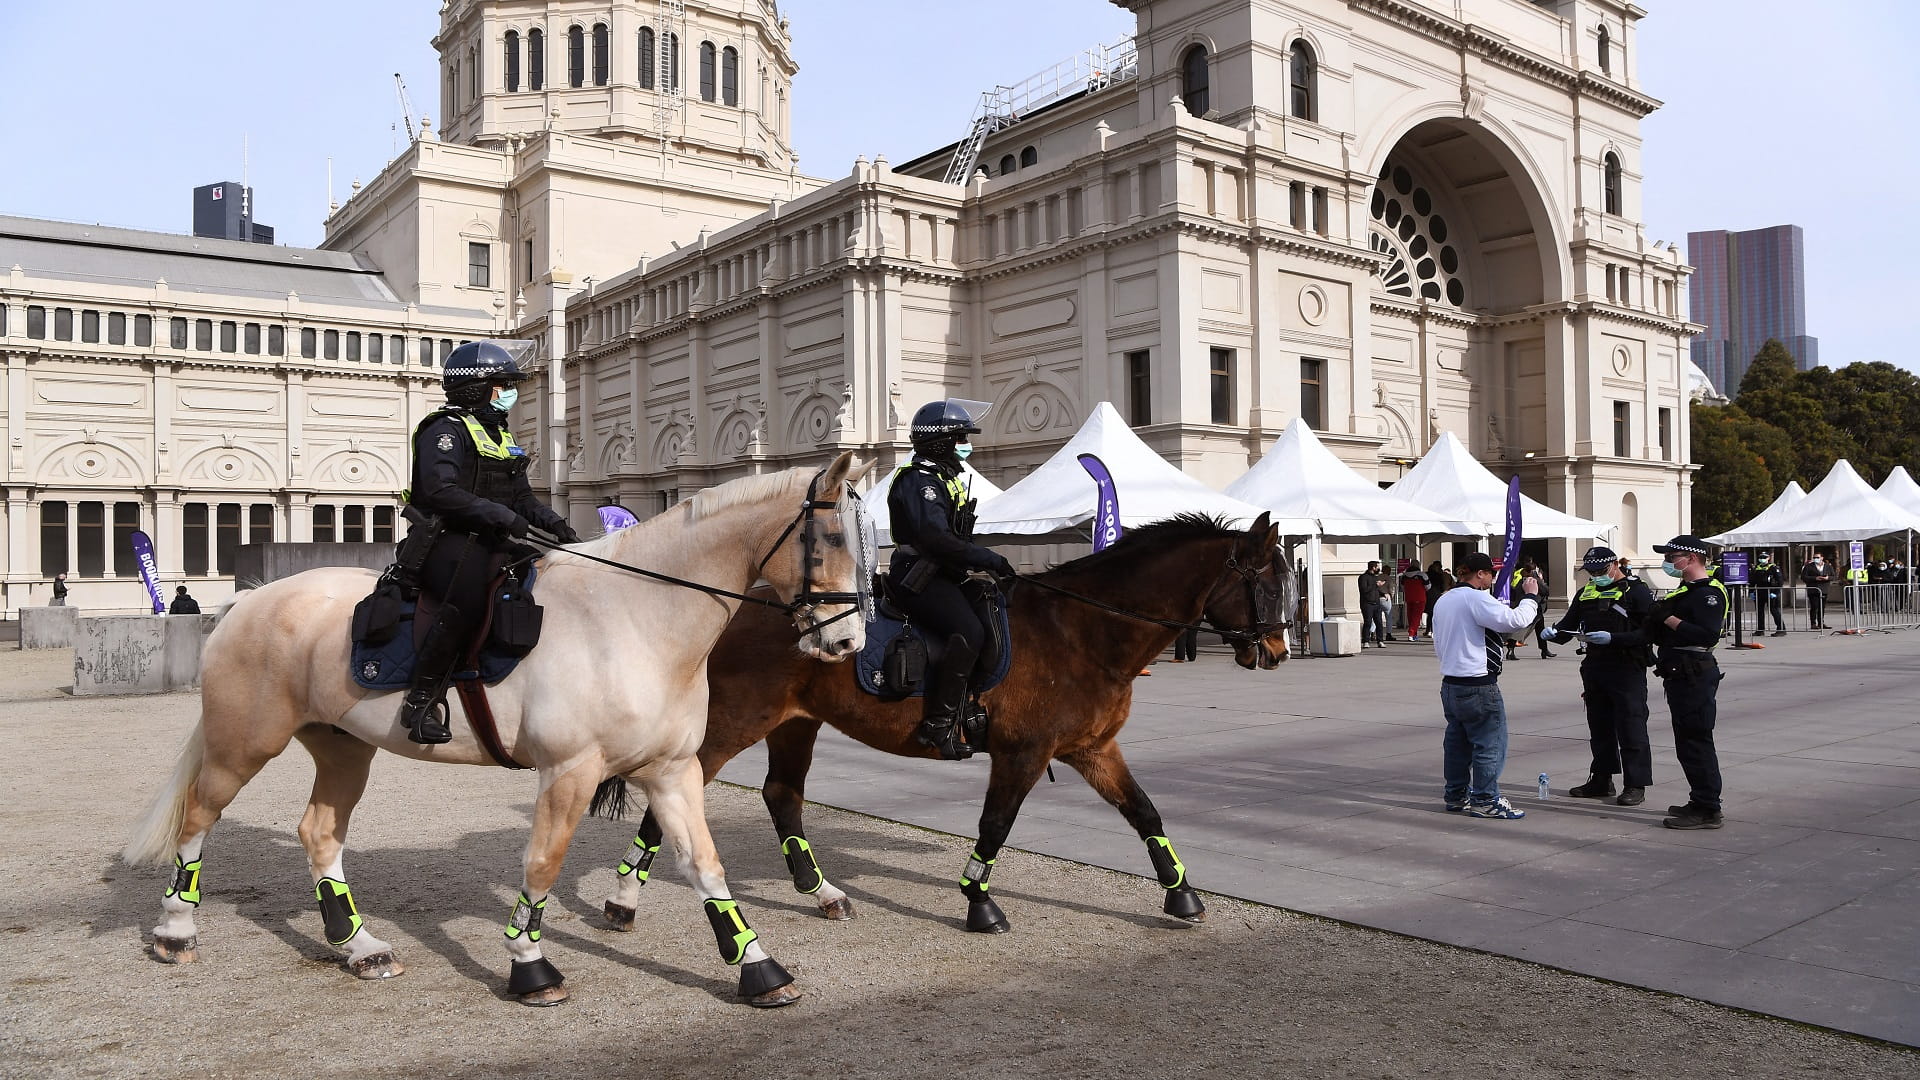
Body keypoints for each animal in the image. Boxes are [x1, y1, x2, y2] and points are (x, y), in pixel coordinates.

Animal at [135, 449, 879, 1006]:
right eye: (830, 539)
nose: (848, 645)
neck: (634, 616)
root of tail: (252, 598)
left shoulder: (672, 771)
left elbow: (705, 863)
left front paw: (757, 967)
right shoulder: (570, 771)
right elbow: (543, 864)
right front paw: (529, 965)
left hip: (343, 750)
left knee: (319, 832)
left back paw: (360, 948)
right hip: (243, 744)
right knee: (199, 816)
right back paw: (175, 931)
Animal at [599, 511, 1290, 933]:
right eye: (1267, 582)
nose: (1279, 650)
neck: (1083, 629)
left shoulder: (1092, 749)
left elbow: (1145, 813)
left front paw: (1182, 894)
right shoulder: (1024, 753)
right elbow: (995, 826)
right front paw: (980, 903)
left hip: (795, 723)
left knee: (782, 796)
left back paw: (821, 893)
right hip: (733, 724)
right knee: (673, 802)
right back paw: (624, 898)